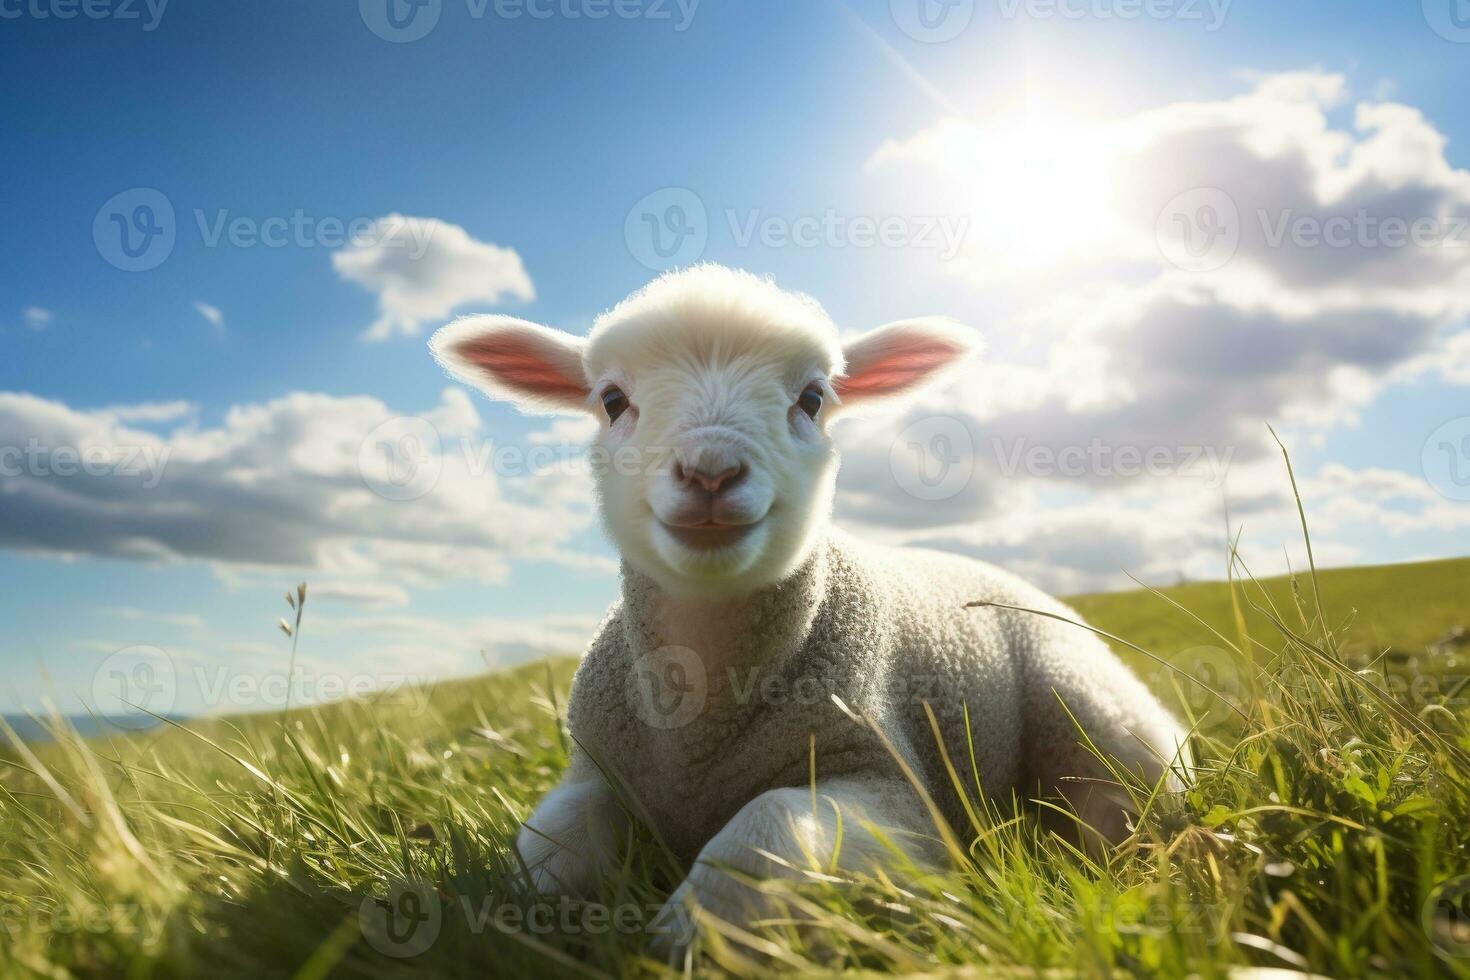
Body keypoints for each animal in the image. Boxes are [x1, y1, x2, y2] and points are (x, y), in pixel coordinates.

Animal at [429, 264, 1187, 952]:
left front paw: (697, 933)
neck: (696, 737)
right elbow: (544, 853)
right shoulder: (595, 772)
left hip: (1094, 711)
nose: (711, 472)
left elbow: (768, 823)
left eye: (813, 397)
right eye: (613, 399)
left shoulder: (903, 793)